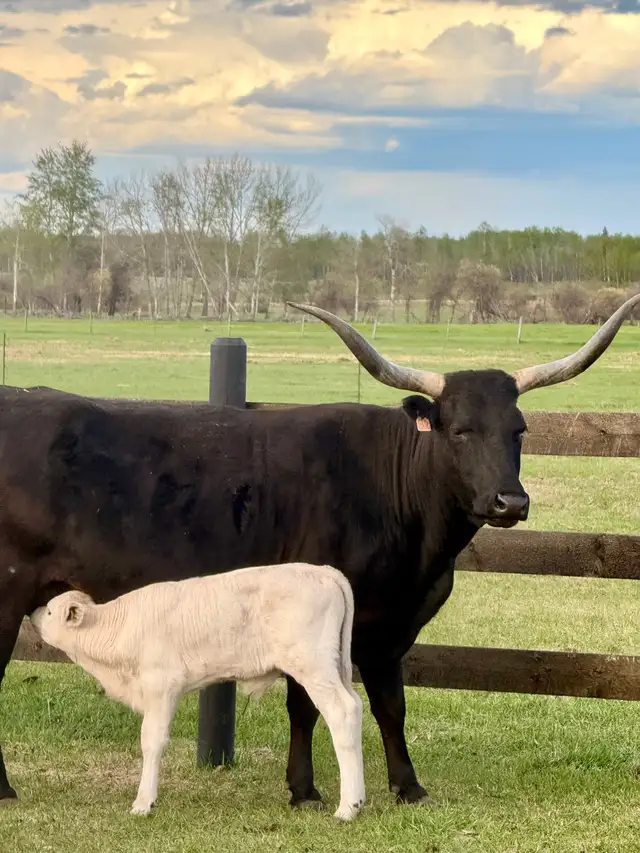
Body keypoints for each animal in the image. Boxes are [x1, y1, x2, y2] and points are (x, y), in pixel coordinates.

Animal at [30, 563, 365, 821]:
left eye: (50, 612)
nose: (32, 613)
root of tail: (324, 571)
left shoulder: (161, 684)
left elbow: (151, 741)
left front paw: (143, 803)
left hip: (313, 665)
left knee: (341, 712)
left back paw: (347, 808)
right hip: (334, 667)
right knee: (356, 706)